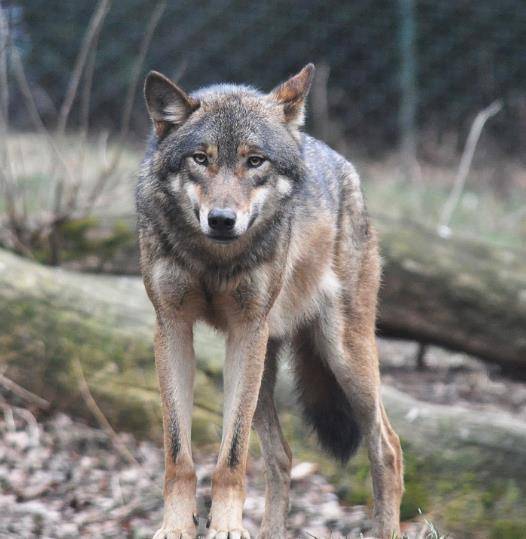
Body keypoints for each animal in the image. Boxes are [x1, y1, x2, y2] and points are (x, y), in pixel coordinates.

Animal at [136, 64, 404, 539]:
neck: (215, 260)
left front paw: (224, 527)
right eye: (200, 159)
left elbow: (231, 457)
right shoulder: (171, 328)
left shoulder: (247, 331)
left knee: (387, 447)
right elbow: (178, 453)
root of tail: (341, 163)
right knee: (282, 457)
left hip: (341, 356)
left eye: (254, 160)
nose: (222, 220)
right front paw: (176, 526)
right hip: (262, 365)